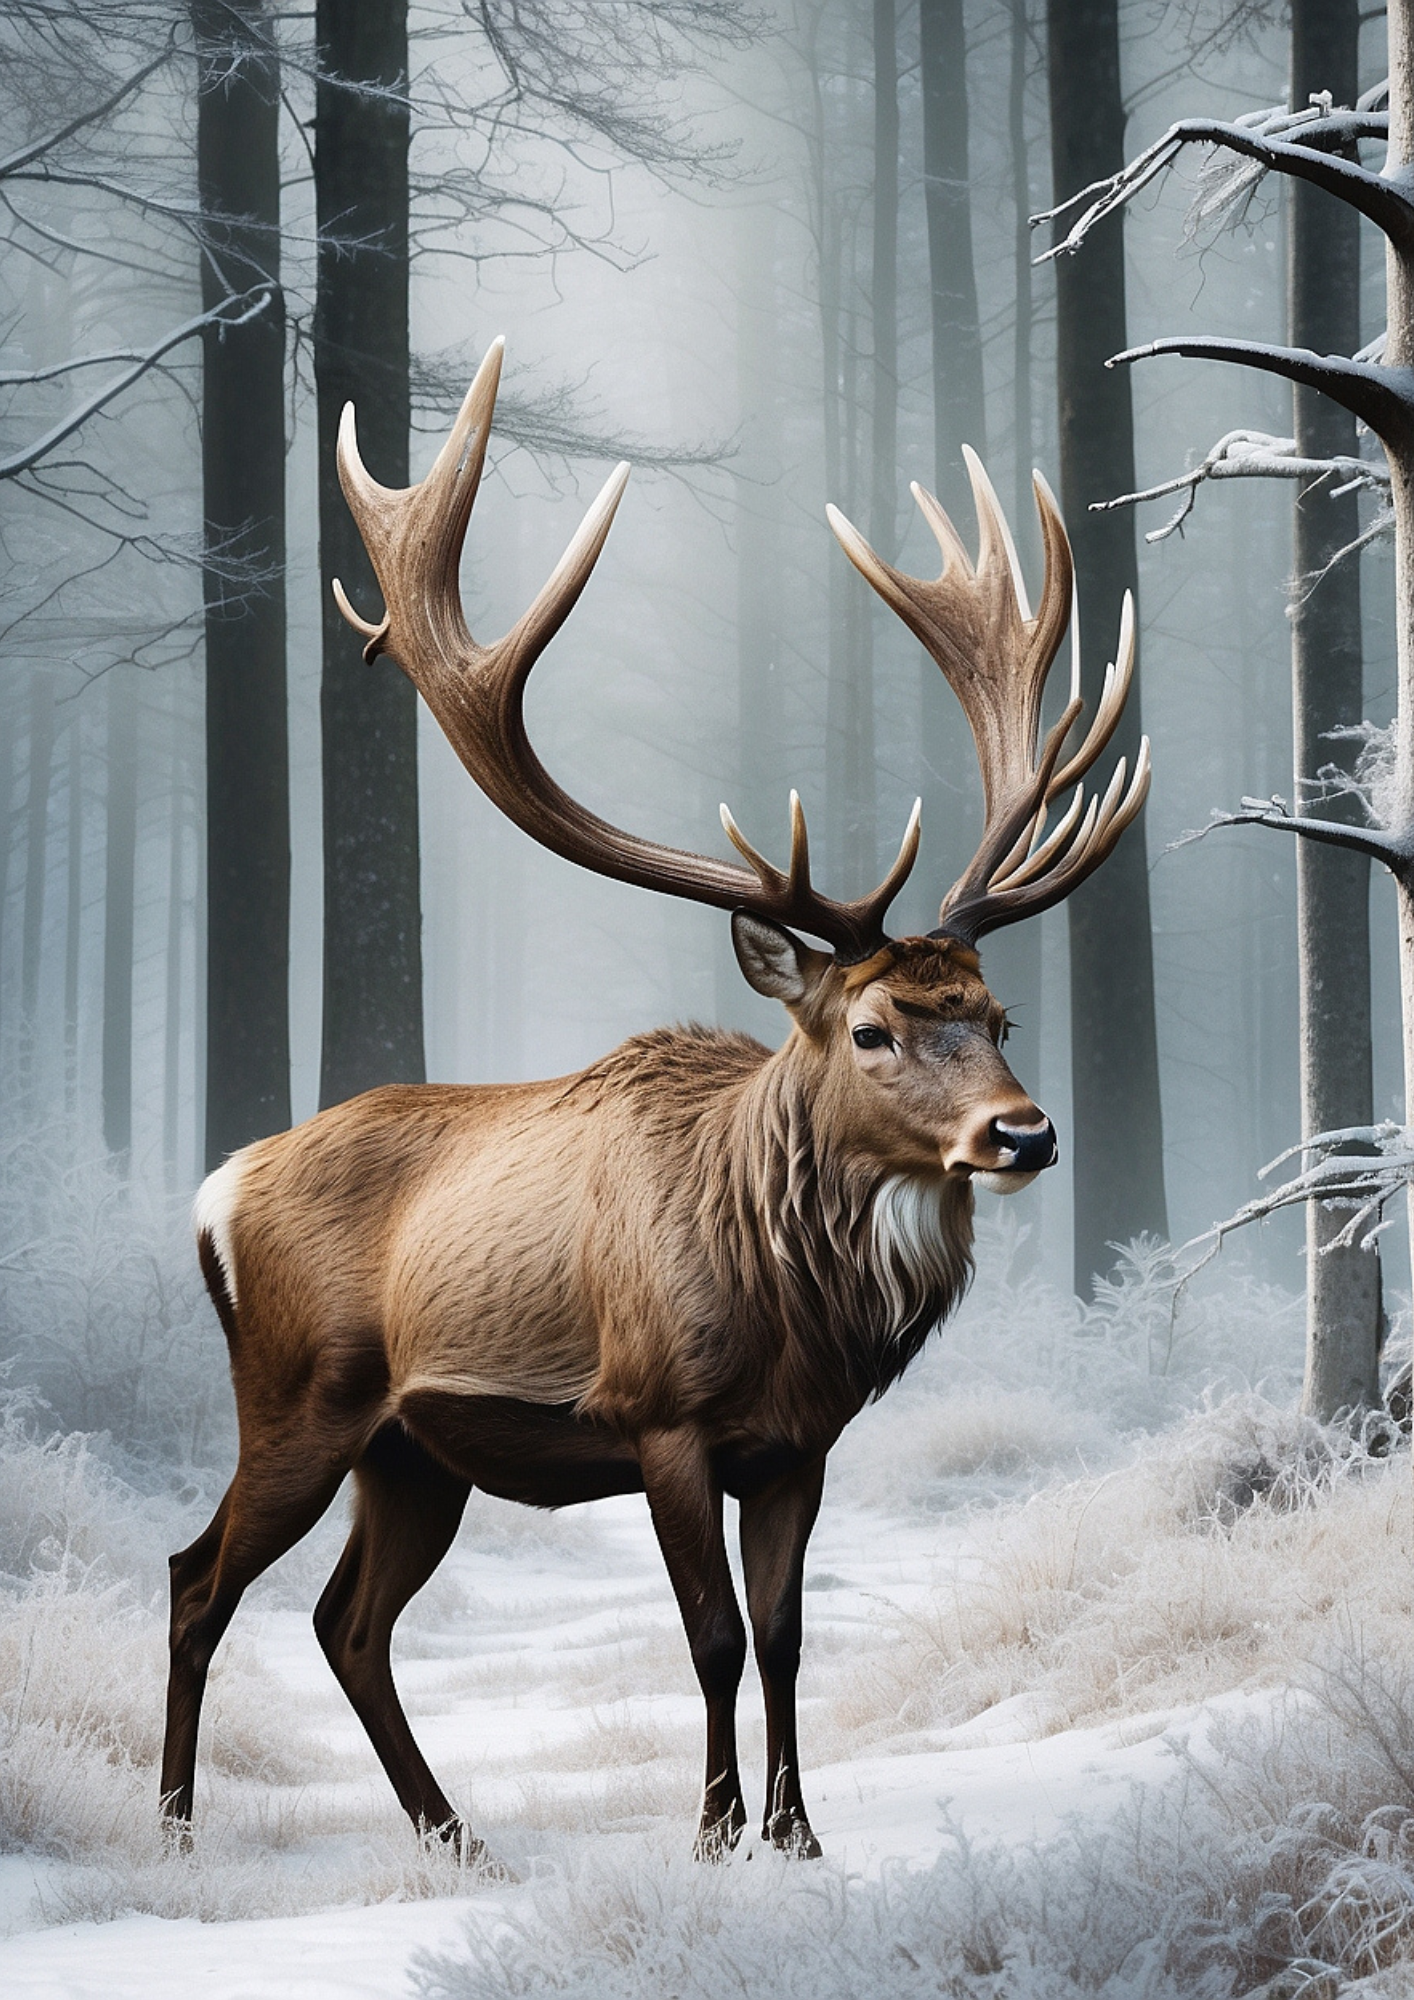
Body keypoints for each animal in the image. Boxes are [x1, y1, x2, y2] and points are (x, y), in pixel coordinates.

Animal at [161, 337, 1148, 1870]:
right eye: (870, 1027)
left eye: (997, 1018)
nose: (1023, 1132)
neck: (790, 1307)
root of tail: (223, 1185)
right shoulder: (658, 1412)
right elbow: (711, 1636)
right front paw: (715, 1833)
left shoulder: (798, 1445)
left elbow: (790, 1634)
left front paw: (800, 1834)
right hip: (299, 1394)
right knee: (198, 1576)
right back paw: (177, 1832)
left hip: (413, 1448)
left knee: (346, 1618)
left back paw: (455, 1834)